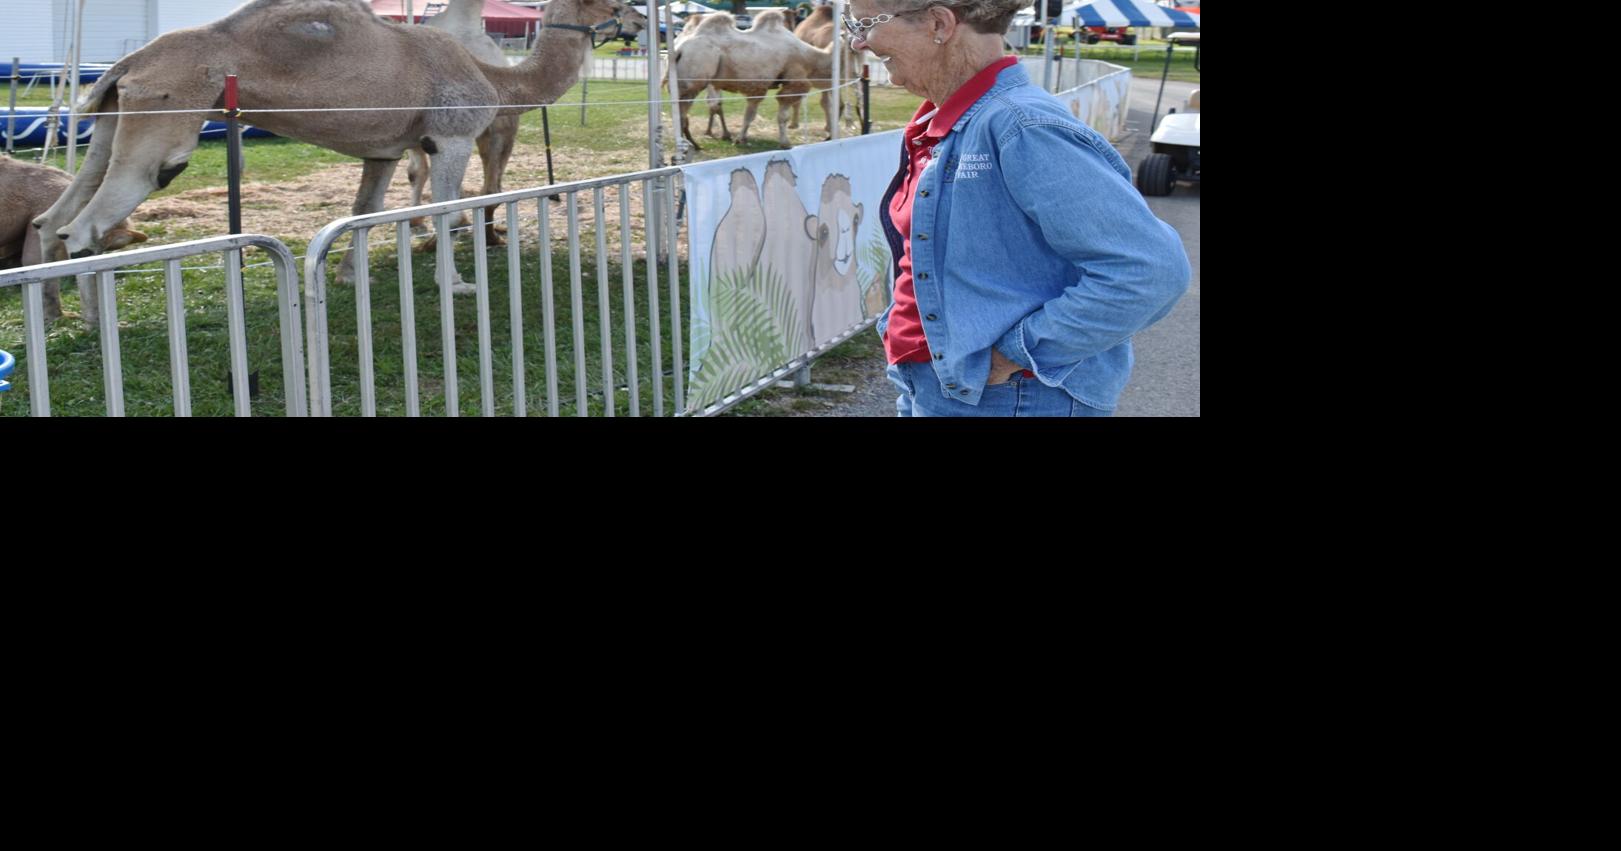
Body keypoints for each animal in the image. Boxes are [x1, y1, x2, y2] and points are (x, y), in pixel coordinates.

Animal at [33, 0, 632, 329]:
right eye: (616, 3)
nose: (644, 18)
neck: (497, 80)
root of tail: (126, 64)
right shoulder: (452, 135)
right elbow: (445, 209)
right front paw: (457, 285)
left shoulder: (384, 149)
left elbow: (364, 209)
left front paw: (346, 277)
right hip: (164, 123)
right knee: (88, 224)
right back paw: (96, 322)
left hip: (111, 119)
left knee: (52, 218)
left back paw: (56, 312)